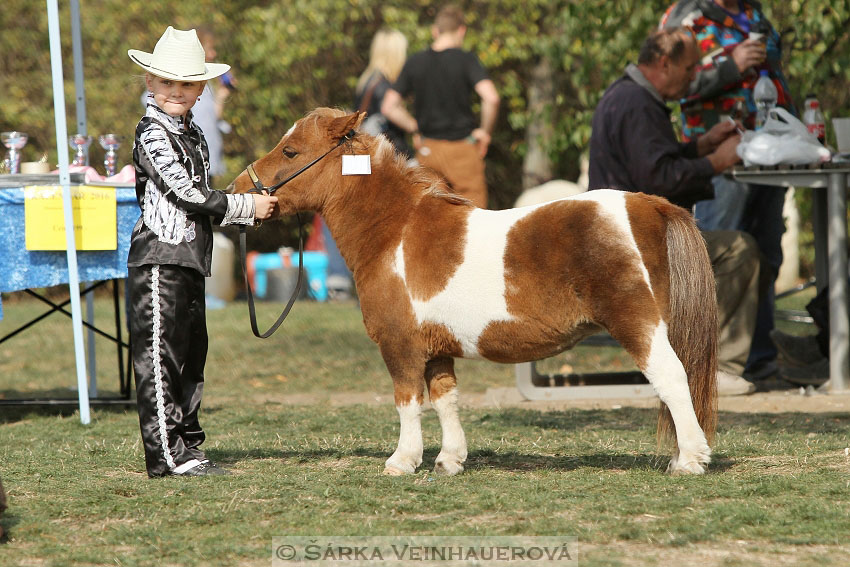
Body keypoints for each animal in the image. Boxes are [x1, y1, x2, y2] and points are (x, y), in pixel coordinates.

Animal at [230, 106, 716, 474]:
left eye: (291, 150)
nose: (238, 189)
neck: (396, 231)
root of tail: (649, 204)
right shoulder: (436, 348)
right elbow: (445, 399)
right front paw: (449, 460)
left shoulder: (400, 345)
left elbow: (407, 401)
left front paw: (402, 461)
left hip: (639, 325)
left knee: (672, 378)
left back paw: (690, 461)